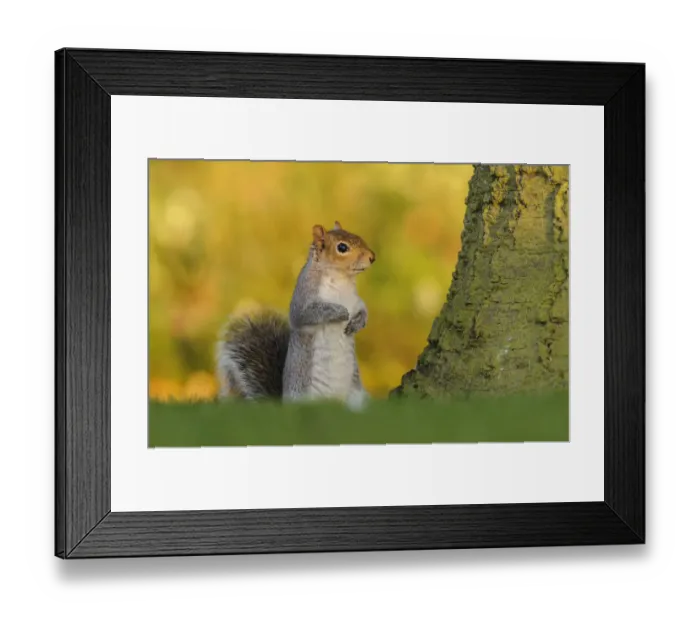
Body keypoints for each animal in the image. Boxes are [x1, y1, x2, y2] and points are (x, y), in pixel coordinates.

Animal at [216, 221, 376, 409]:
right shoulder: (303, 300)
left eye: (359, 236)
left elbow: (363, 309)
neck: (340, 279)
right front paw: (339, 312)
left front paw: (358, 322)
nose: (372, 257)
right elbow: (306, 314)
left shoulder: (355, 300)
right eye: (342, 247)